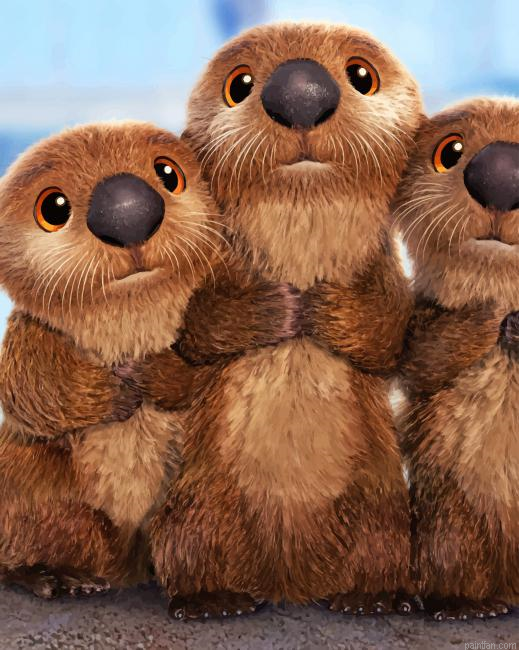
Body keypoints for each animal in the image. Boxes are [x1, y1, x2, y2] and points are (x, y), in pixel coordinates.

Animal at [0, 121, 299, 598]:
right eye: (53, 207)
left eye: (168, 172)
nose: (126, 209)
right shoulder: (29, 331)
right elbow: (30, 388)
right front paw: (118, 391)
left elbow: (205, 356)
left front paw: (145, 372)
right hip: (31, 480)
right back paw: (57, 577)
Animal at [149, 23, 423, 619]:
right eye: (239, 84)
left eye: (362, 74)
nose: (300, 90)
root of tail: (288, 582)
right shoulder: (213, 264)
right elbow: (195, 328)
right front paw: (281, 305)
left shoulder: (386, 269)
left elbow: (390, 331)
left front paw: (320, 301)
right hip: (195, 506)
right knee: (190, 551)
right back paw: (213, 599)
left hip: (383, 508)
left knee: (378, 551)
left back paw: (372, 597)